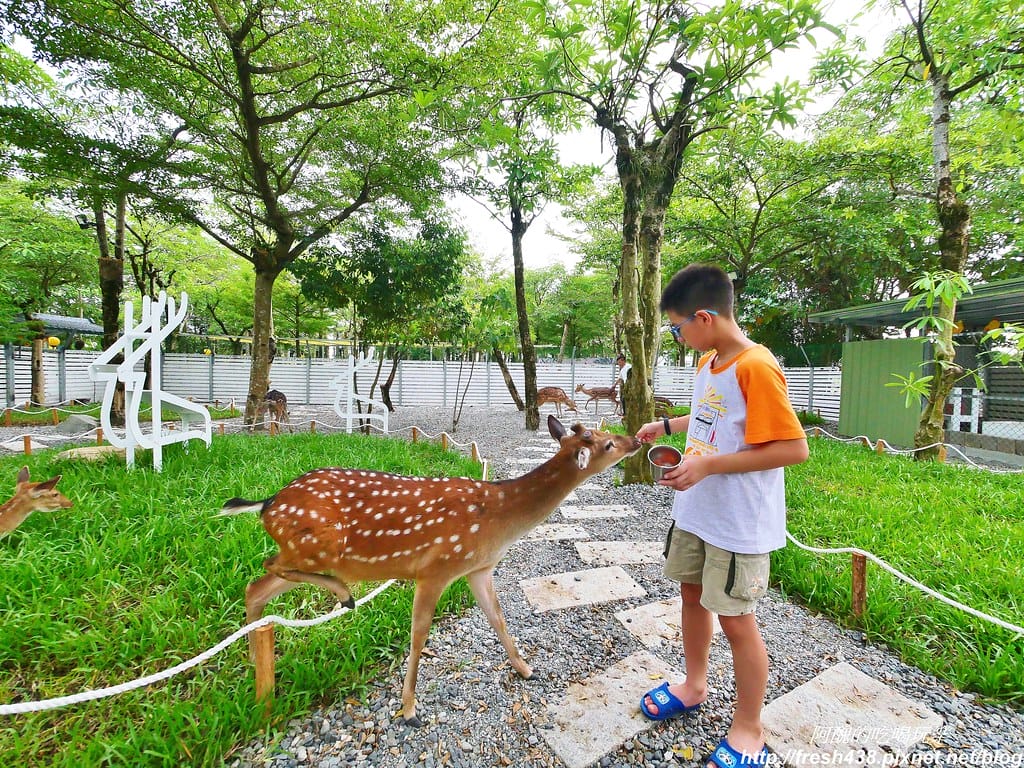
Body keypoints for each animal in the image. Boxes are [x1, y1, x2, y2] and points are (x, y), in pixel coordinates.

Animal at [220, 415, 641, 727]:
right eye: (606, 444)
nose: (635, 439)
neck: (499, 520)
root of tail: (267, 503)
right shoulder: (437, 568)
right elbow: (419, 634)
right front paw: (409, 709)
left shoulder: (479, 568)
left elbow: (498, 617)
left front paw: (526, 669)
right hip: (318, 547)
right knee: (269, 565)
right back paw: (343, 595)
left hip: (304, 552)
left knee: (255, 588)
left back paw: (255, 668)